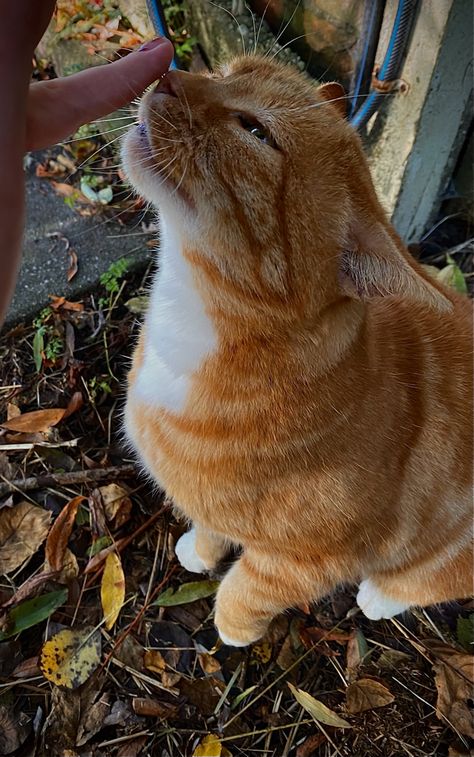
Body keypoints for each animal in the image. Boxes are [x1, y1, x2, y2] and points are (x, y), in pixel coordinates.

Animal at [123, 54, 474, 644]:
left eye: (256, 131)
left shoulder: (310, 560)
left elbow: (250, 589)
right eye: (226, 70)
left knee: (426, 579)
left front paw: (232, 628)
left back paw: (381, 597)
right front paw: (200, 549)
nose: (171, 75)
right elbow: (210, 523)